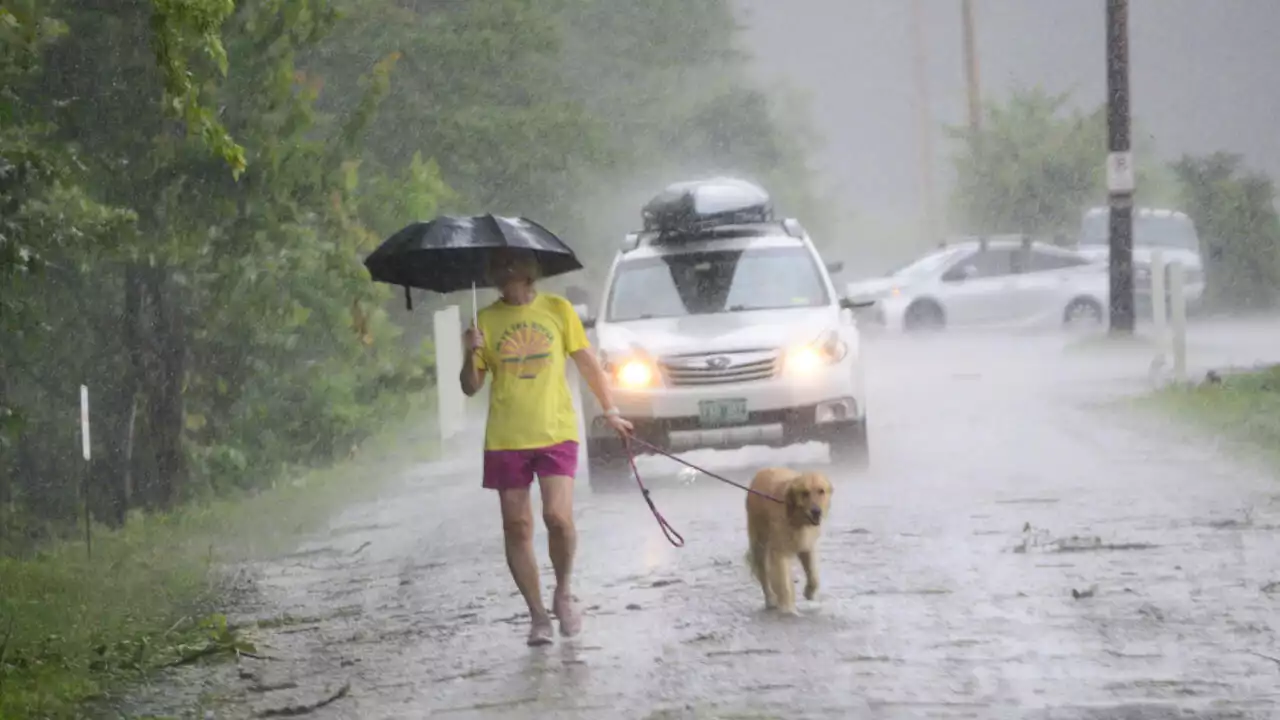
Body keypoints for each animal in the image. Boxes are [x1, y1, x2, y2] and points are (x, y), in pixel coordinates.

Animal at [747, 468, 834, 614]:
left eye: (821, 491)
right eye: (804, 493)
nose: (816, 511)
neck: (796, 518)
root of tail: (761, 471)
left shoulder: (806, 545)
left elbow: (813, 575)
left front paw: (809, 592)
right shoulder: (778, 552)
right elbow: (783, 583)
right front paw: (788, 609)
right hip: (759, 542)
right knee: (763, 571)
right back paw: (770, 598)